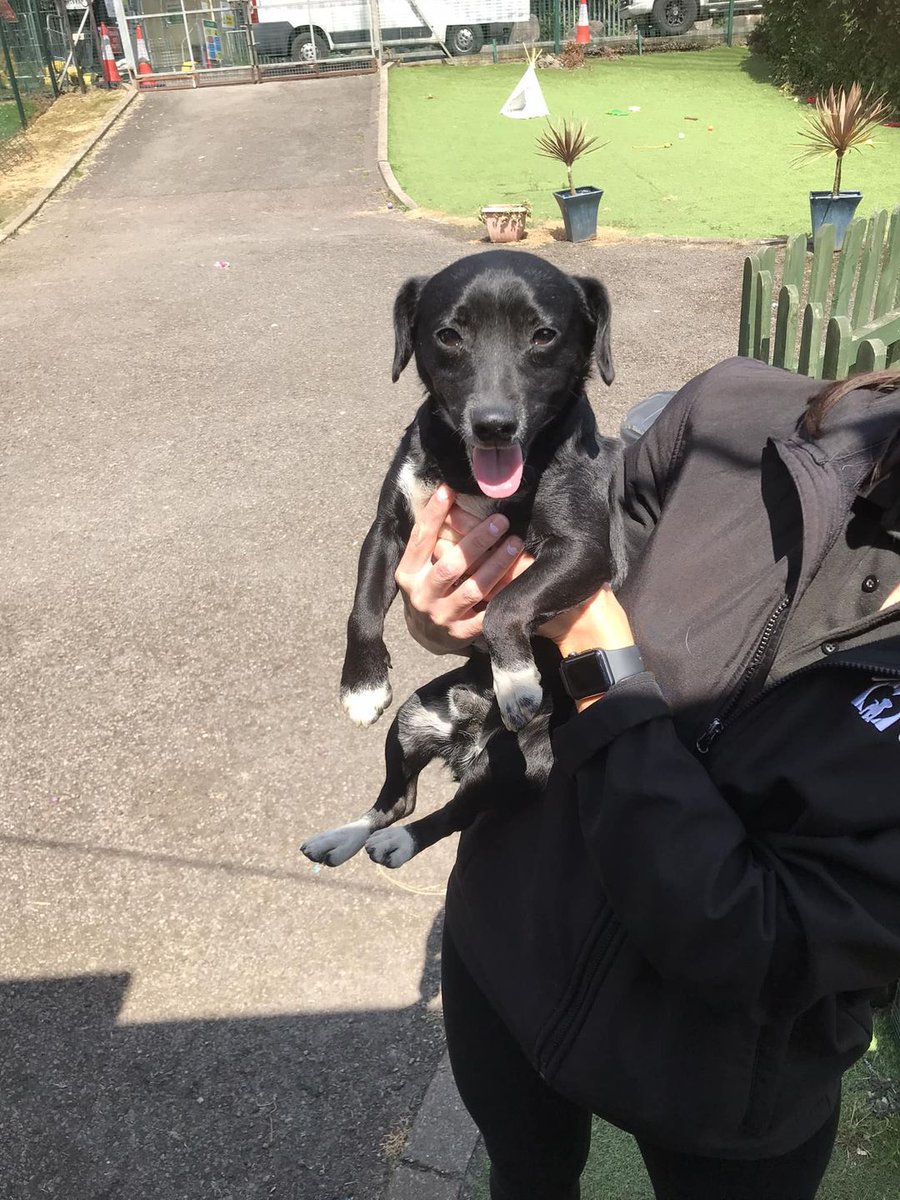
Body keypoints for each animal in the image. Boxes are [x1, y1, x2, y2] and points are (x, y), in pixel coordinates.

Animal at [300, 253, 624, 868]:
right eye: (448, 335)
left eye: (544, 335)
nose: (493, 424)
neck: (474, 476)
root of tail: (467, 741)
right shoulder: (389, 527)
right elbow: (362, 609)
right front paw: (361, 686)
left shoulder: (584, 549)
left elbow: (508, 602)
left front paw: (516, 678)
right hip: (411, 719)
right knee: (396, 799)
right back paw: (342, 837)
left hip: (525, 761)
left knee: (450, 813)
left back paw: (399, 842)